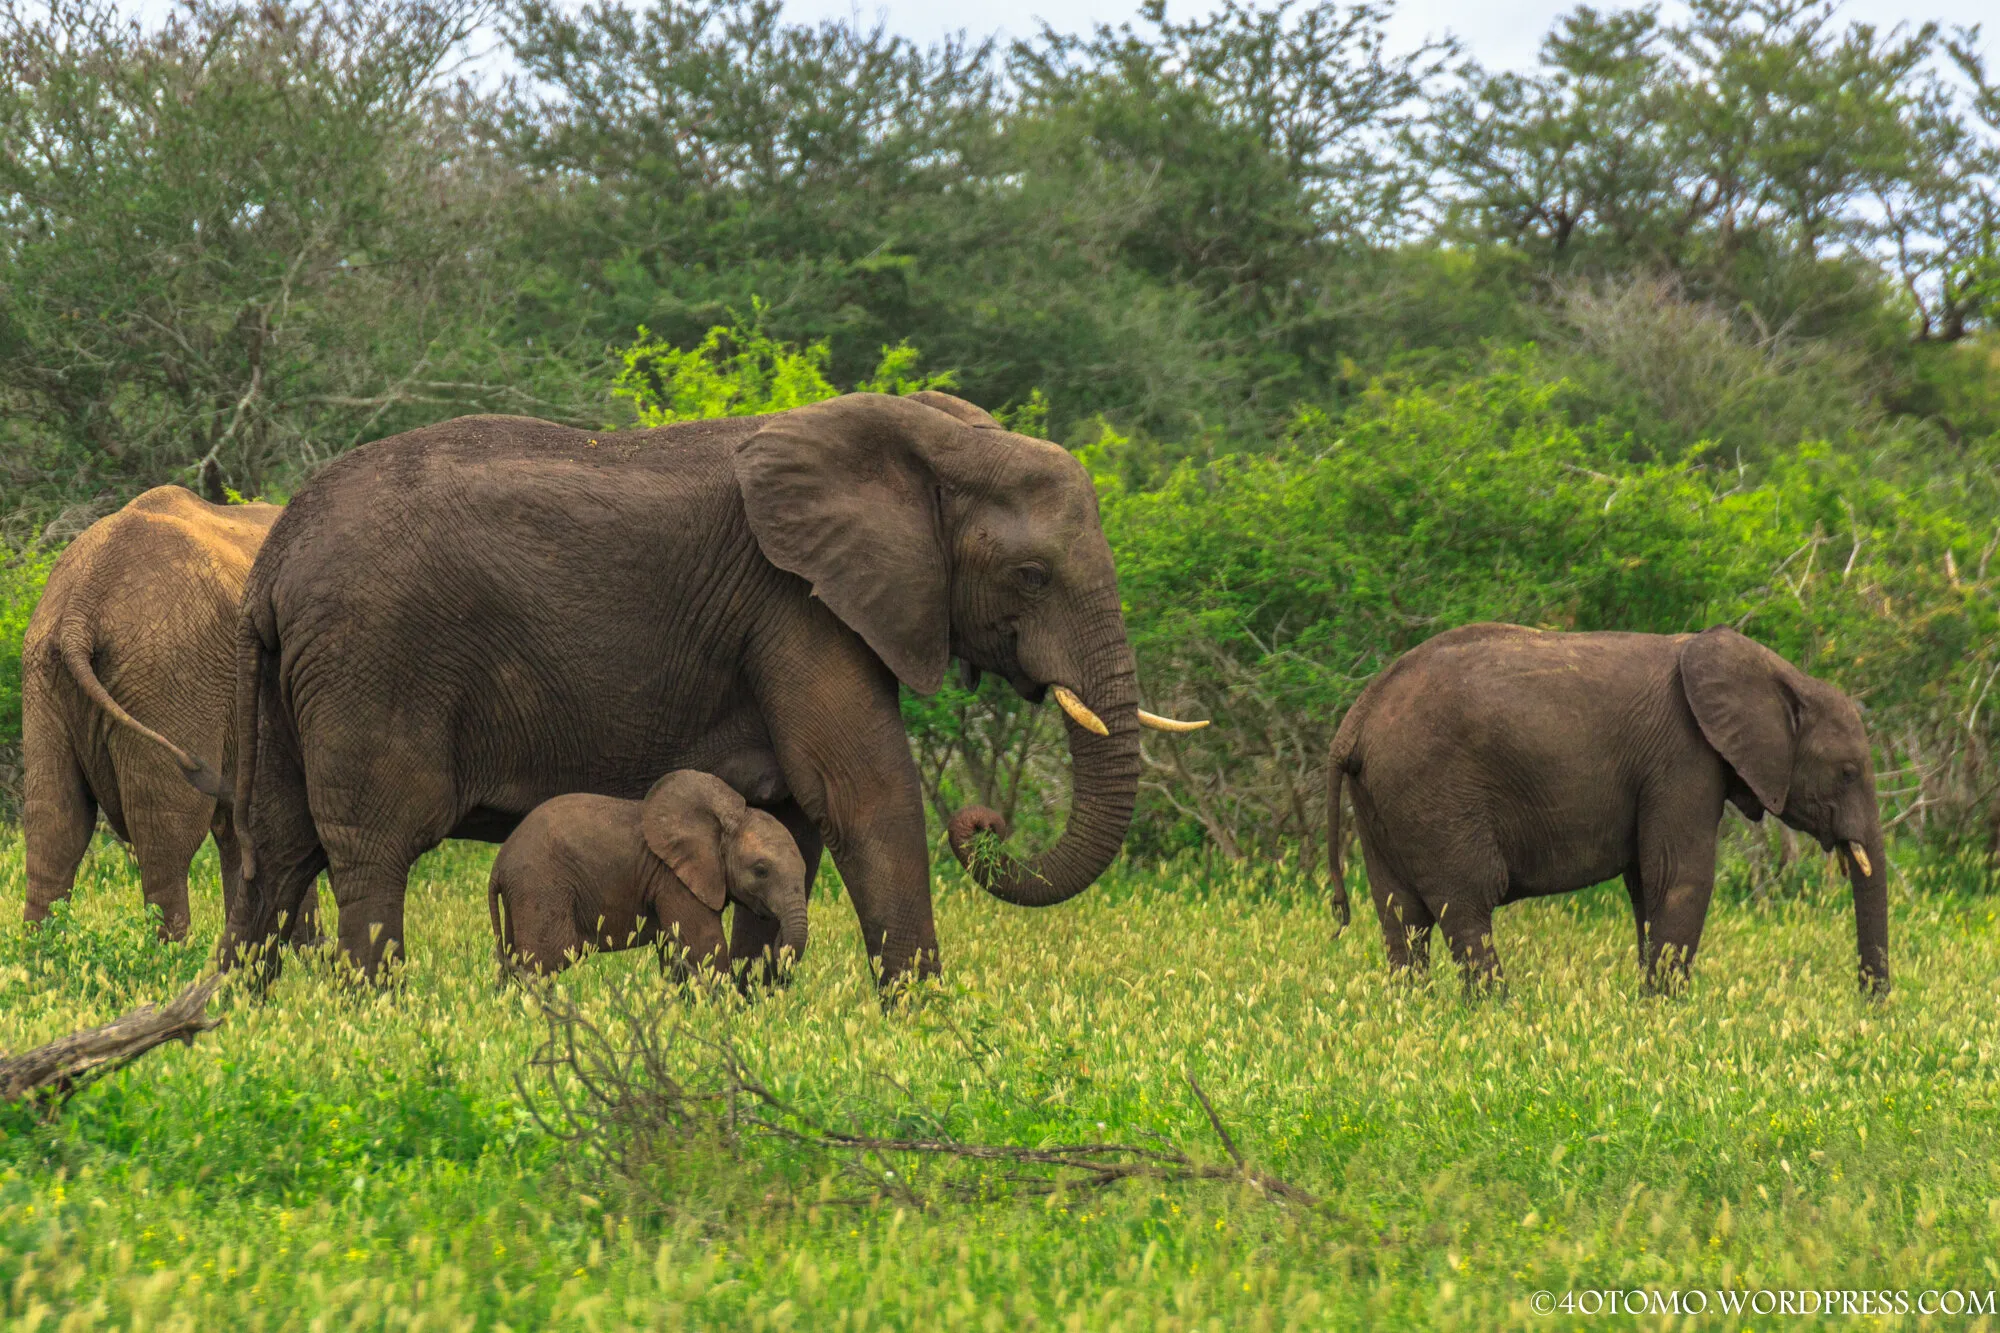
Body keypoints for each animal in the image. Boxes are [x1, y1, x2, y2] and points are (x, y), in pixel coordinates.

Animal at [21, 485, 288, 941]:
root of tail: (79, 608)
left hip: (46, 679)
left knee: (53, 828)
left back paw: (38, 952)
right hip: (172, 678)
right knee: (168, 838)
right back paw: (174, 954)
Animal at [489, 770, 808, 977]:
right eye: (761, 871)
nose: (777, 946)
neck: (726, 818)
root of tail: (499, 863)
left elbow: (676, 955)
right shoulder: (674, 880)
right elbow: (704, 949)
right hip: (542, 886)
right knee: (547, 959)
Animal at [1326, 623, 1888, 995]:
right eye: (1847, 773)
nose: (1870, 1001)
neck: (1778, 674)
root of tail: (1355, 721)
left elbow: (1647, 884)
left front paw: (1649, 1003)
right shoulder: (1682, 757)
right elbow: (1679, 876)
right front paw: (1668, 1011)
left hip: (1382, 799)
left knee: (1400, 913)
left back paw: (1414, 1010)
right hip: (1435, 793)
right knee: (1465, 904)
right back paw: (1496, 1010)